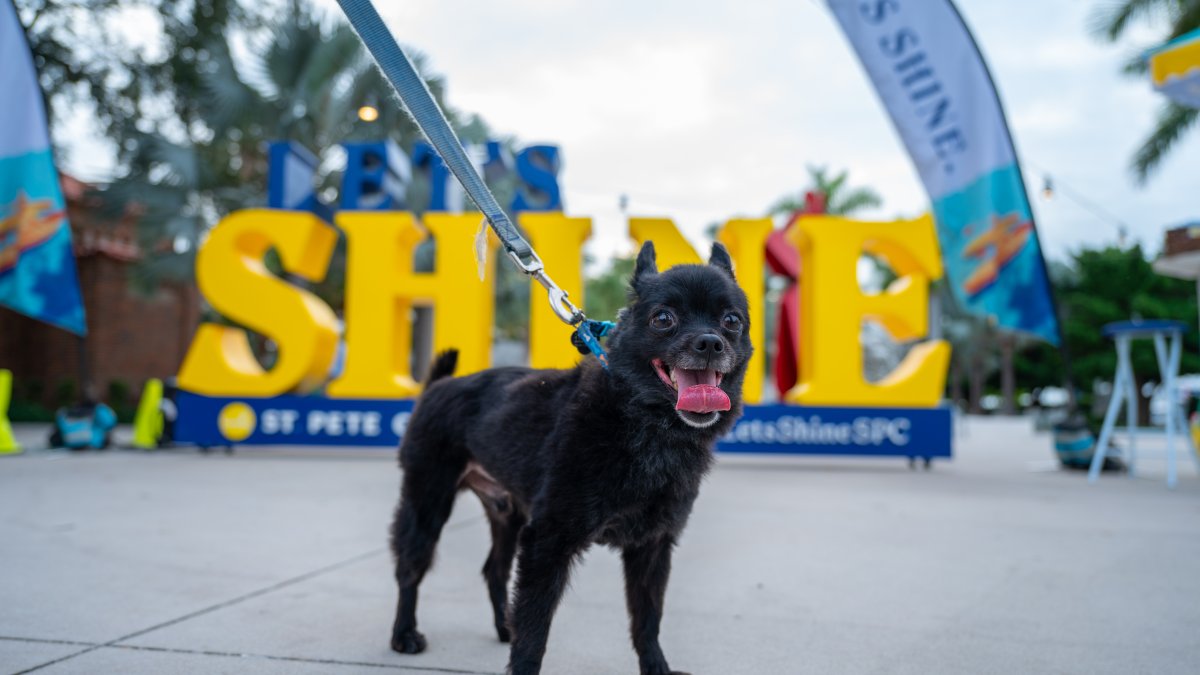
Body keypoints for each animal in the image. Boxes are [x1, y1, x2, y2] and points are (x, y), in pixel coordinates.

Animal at [391, 241, 748, 672]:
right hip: (426, 502)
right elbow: (534, 635)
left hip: (507, 514)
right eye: (664, 318)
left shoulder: (652, 546)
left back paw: (503, 627)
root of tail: (438, 385)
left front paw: (656, 668)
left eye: (732, 320)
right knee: (410, 570)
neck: (642, 423)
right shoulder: (547, 543)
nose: (710, 343)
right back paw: (404, 635)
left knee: (493, 571)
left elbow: (647, 621)